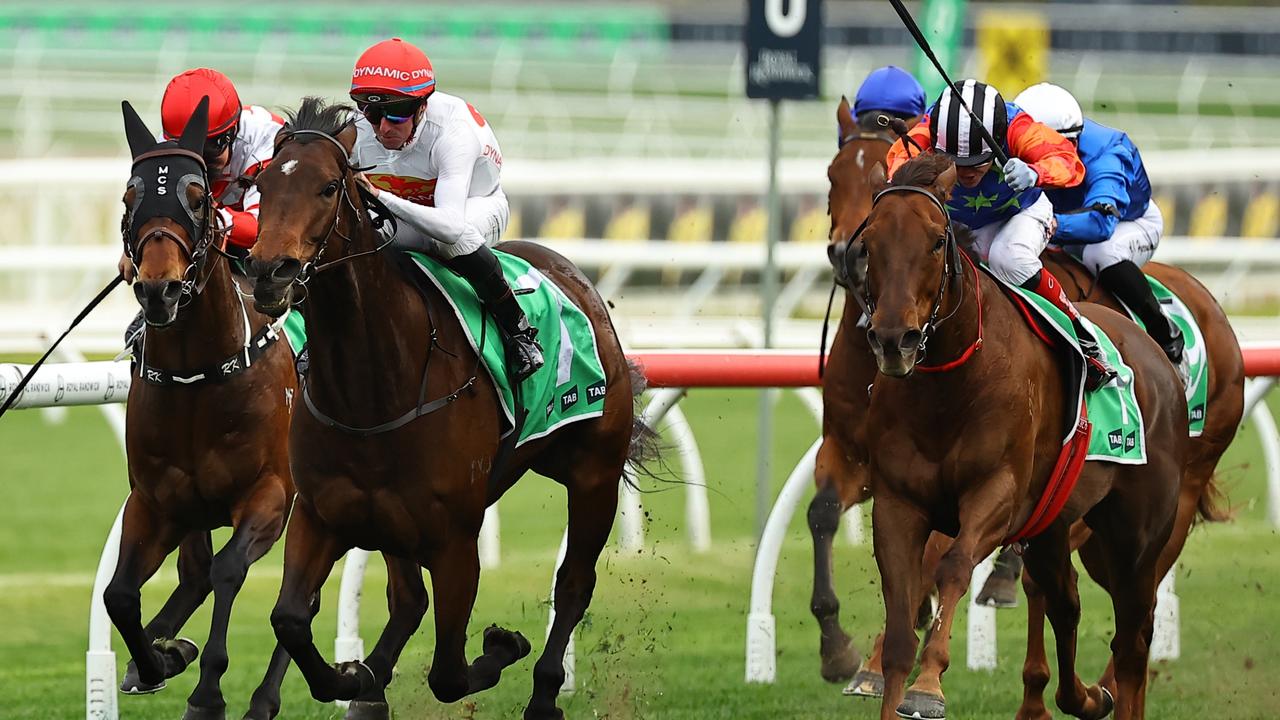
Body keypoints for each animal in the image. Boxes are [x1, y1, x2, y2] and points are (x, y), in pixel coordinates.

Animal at [106, 96, 296, 717]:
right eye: (129, 197)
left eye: (196, 196)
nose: (157, 289)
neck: (198, 378)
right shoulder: (155, 502)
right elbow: (120, 594)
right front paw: (158, 661)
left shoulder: (271, 494)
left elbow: (230, 569)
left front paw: (209, 688)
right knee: (192, 576)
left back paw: (266, 695)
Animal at [245, 96, 655, 717]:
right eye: (263, 184)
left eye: (327, 188)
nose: (271, 273)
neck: (371, 393)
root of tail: (577, 280)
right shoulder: (323, 516)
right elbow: (291, 618)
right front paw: (354, 677)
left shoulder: (455, 540)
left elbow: (449, 674)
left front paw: (503, 643)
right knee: (408, 600)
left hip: (594, 474)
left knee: (573, 583)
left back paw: (544, 692)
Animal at [849, 151, 1187, 717]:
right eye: (869, 242)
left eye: (936, 240)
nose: (896, 341)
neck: (950, 385)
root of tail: (1153, 350)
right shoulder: (898, 504)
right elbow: (898, 633)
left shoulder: (999, 494)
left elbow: (954, 566)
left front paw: (928, 686)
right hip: (1054, 524)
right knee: (1066, 604)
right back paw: (1085, 697)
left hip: (1138, 537)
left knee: (1133, 637)